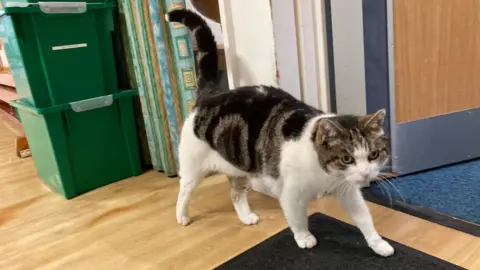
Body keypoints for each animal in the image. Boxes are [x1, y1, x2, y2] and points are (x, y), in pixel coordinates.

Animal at [165, 8, 394, 256]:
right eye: (346, 158)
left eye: (373, 155)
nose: (366, 174)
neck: (325, 173)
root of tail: (211, 95)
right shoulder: (290, 194)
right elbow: (298, 219)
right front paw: (304, 238)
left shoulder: (347, 190)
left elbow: (364, 218)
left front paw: (378, 243)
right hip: (193, 168)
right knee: (184, 191)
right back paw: (182, 216)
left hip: (239, 165)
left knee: (235, 193)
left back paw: (246, 217)